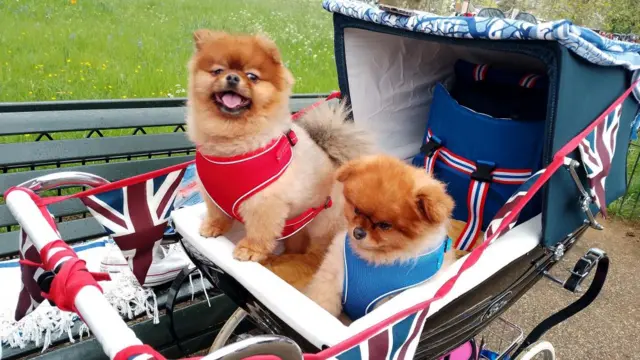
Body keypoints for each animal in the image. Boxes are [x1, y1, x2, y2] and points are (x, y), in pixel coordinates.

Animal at [185, 28, 372, 290]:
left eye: (252, 76)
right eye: (218, 70)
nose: (232, 78)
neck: (231, 145)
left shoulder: (264, 203)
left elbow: (259, 231)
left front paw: (250, 250)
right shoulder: (211, 191)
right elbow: (217, 213)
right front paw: (213, 227)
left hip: (321, 227)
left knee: (317, 253)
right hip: (295, 230)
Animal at [304, 155, 456, 320]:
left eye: (384, 225)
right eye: (356, 210)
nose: (358, 232)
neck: (374, 259)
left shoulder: (389, 300)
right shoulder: (332, 276)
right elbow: (323, 303)